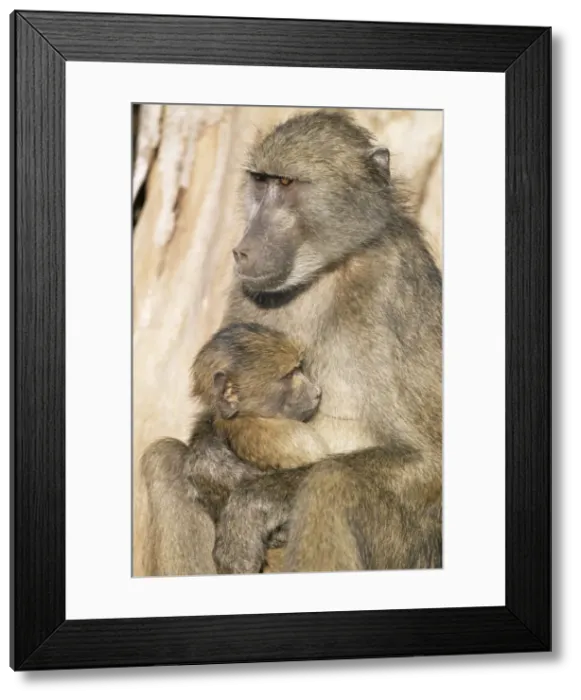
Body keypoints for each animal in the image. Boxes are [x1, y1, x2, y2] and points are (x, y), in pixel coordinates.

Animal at [140, 107, 442, 577]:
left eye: (286, 184)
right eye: (260, 181)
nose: (243, 250)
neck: (327, 271)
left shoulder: (397, 286)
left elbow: (429, 458)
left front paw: (253, 503)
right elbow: (216, 400)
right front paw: (214, 466)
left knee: (332, 482)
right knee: (163, 458)